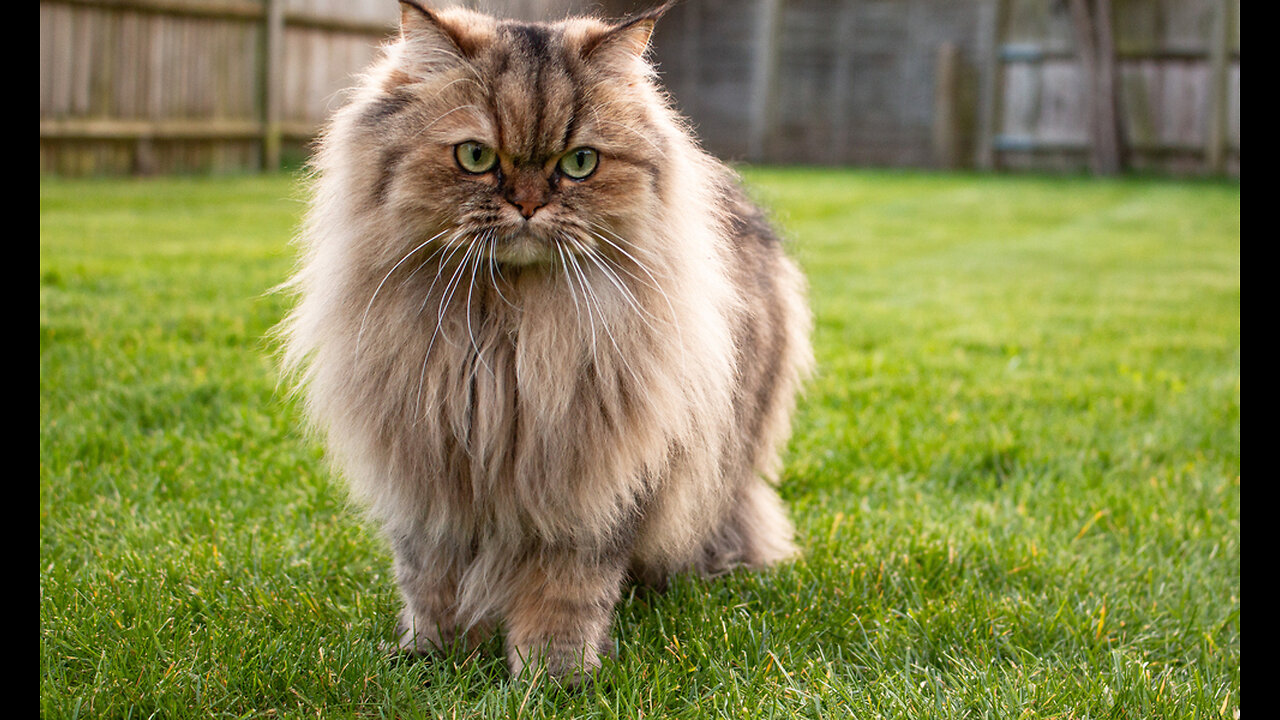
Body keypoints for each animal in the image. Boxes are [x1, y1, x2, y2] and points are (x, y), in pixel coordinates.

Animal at [279, 0, 808, 681]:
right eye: (475, 156)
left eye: (579, 163)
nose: (528, 206)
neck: (507, 330)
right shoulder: (429, 471)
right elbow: (430, 581)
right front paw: (435, 659)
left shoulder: (593, 482)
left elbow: (565, 594)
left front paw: (551, 677)